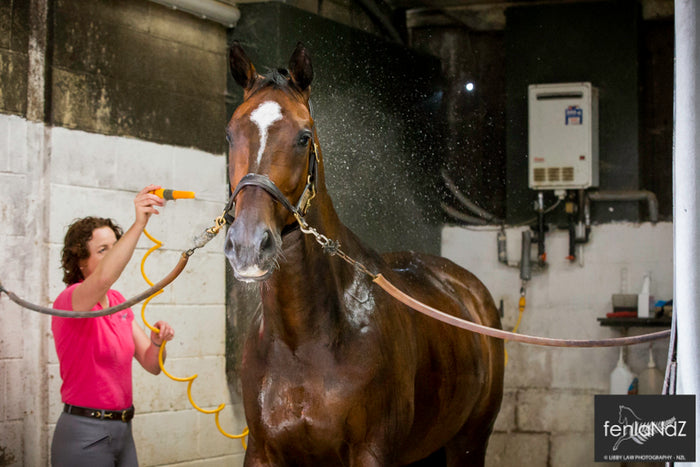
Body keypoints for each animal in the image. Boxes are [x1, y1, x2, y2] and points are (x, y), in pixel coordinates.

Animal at [224, 42, 504, 466]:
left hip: (469, 442)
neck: (302, 342)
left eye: (304, 137)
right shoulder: (261, 451)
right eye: (229, 134)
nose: (247, 244)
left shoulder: (372, 452)